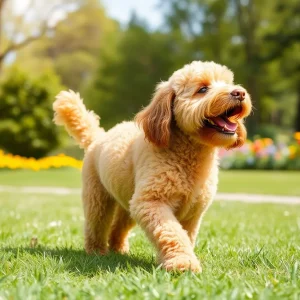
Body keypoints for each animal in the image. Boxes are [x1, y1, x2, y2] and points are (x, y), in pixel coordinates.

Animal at [52, 60, 252, 272]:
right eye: (203, 89)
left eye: (228, 83)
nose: (239, 93)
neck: (189, 155)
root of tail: (98, 137)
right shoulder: (152, 202)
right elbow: (172, 232)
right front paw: (183, 262)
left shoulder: (192, 213)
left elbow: (185, 236)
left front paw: (176, 259)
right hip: (98, 197)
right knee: (96, 225)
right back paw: (96, 251)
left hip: (128, 203)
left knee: (117, 227)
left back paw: (119, 249)